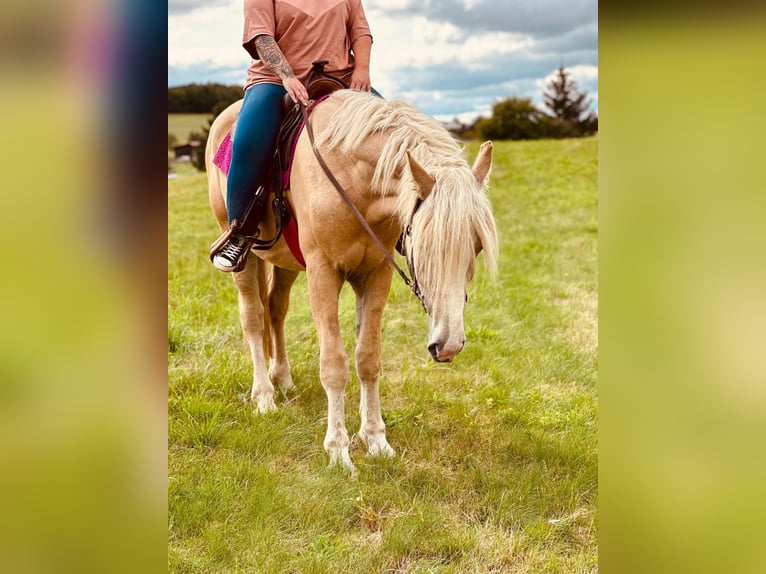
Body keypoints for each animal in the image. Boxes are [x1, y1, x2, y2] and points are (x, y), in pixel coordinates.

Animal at [207, 90, 500, 474]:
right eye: (422, 241)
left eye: (477, 245)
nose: (448, 345)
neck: (352, 175)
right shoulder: (322, 273)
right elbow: (334, 364)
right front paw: (338, 450)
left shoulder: (376, 275)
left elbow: (368, 359)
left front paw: (376, 439)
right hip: (246, 258)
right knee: (253, 317)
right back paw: (264, 397)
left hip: (286, 263)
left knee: (275, 308)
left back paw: (282, 378)